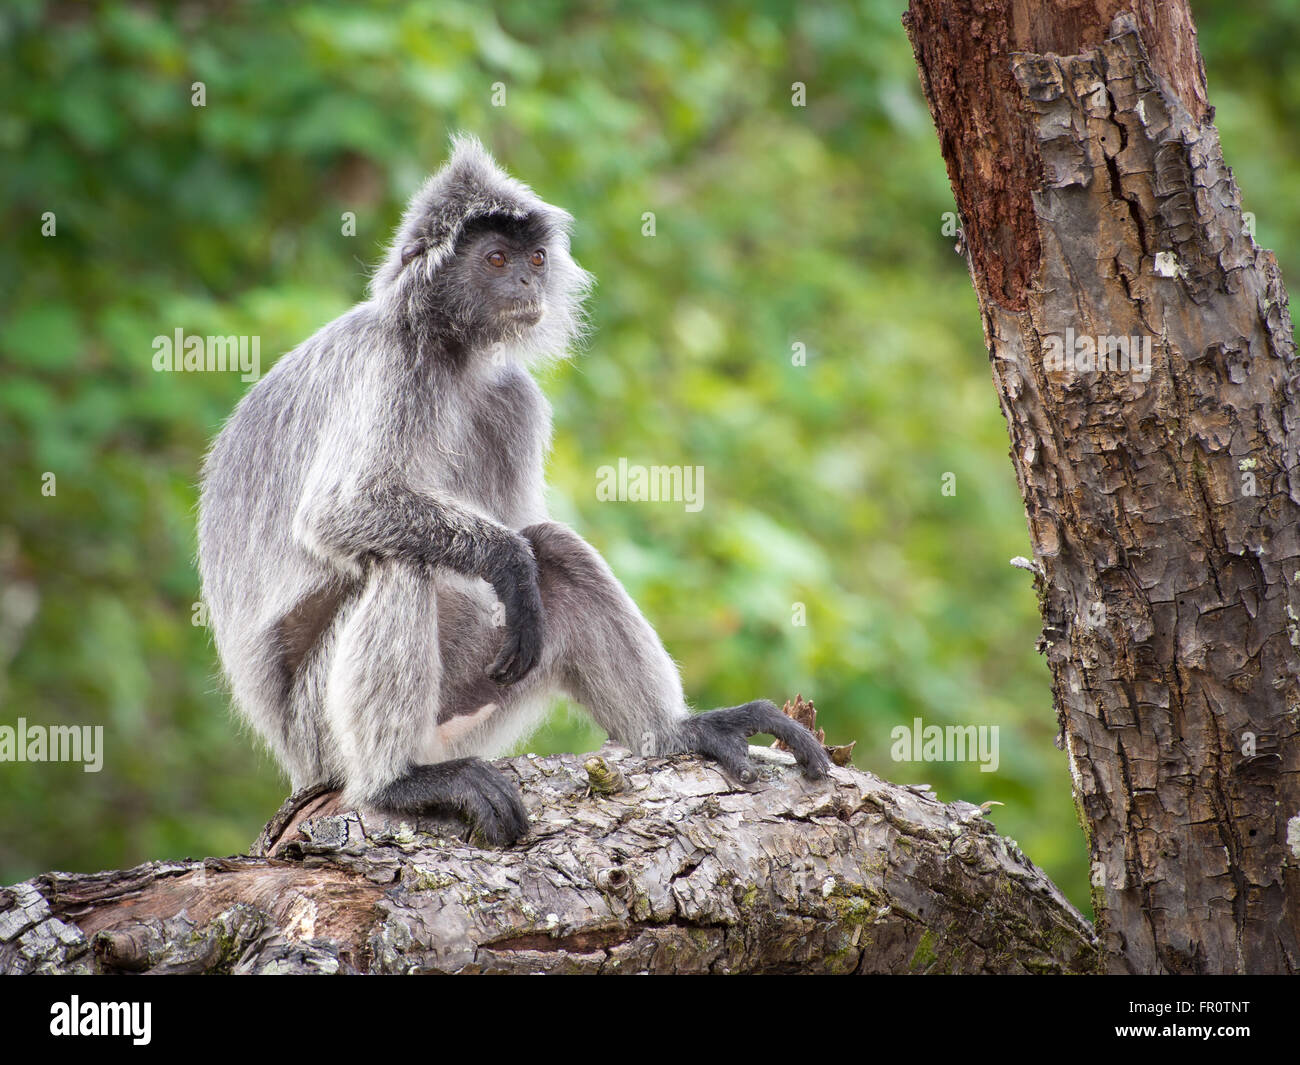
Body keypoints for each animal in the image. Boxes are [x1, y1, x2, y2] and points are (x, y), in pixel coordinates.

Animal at [195, 137, 821, 847]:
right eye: (496, 259)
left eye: (536, 260)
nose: (526, 283)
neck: (451, 355)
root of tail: (292, 760)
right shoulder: (390, 363)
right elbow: (342, 511)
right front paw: (507, 563)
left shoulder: (512, 398)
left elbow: (521, 529)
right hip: (317, 733)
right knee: (403, 564)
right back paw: (397, 782)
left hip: (473, 697)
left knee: (554, 550)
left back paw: (675, 733)